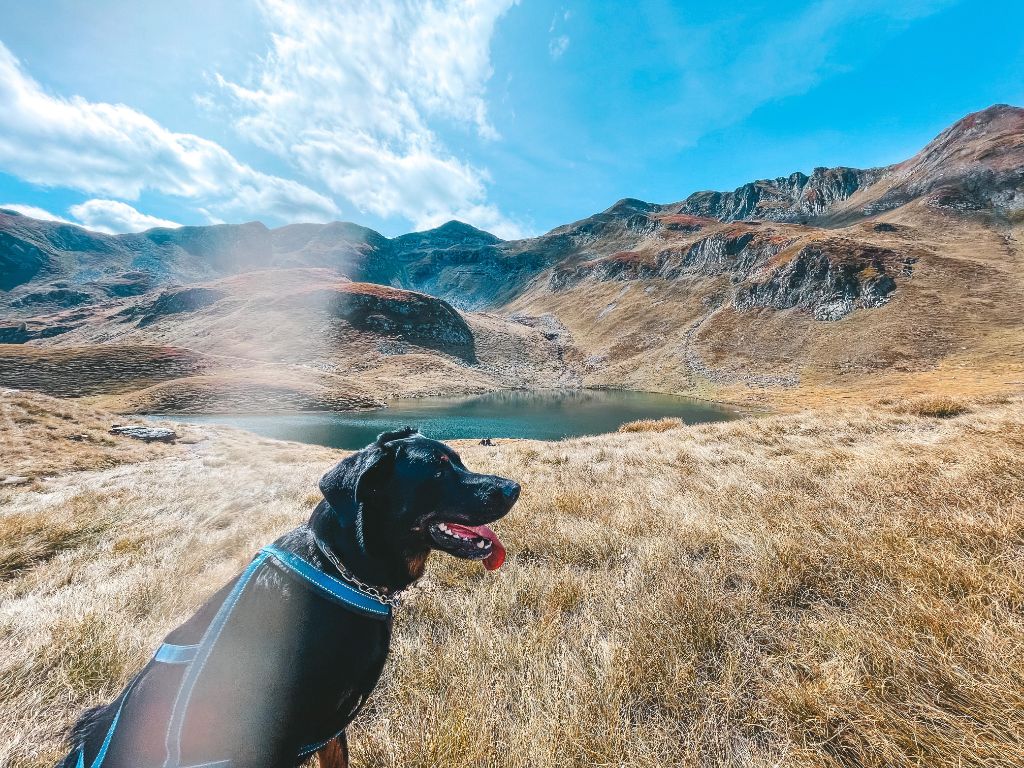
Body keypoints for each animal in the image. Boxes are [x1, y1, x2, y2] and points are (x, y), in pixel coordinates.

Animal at [59, 428, 520, 768]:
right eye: (439, 471)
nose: (514, 487)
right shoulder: (280, 740)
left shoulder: (331, 730)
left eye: (459, 460)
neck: (339, 570)